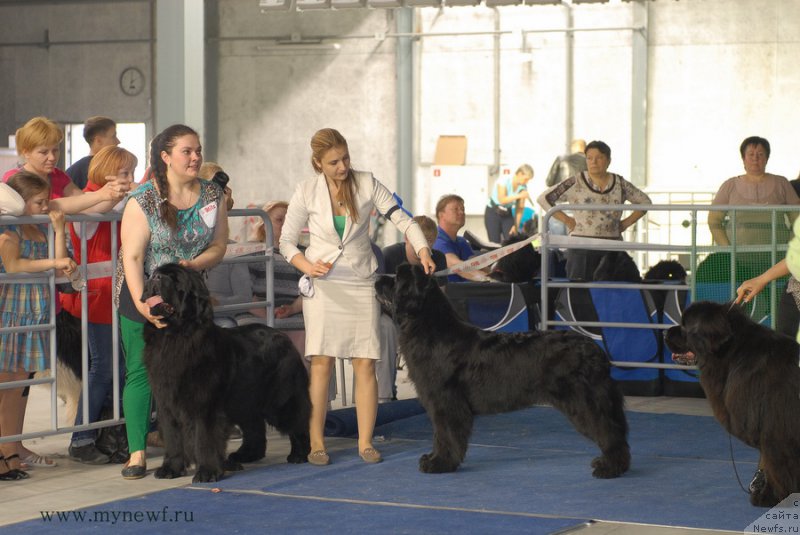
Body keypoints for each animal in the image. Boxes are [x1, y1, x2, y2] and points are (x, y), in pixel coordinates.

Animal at [141, 264, 310, 486]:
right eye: (155, 274)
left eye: (175, 280)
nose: (156, 278)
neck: (174, 336)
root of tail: (283, 336)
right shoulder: (167, 403)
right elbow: (172, 438)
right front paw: (171, 468)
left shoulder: (205, 406)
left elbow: (204, 439)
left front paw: (207, 472)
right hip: (244, 399)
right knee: (255, 427)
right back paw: (243, 456)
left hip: (280, 399)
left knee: (297, 422)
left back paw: (300, 454)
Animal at [376, 264, 632, 478]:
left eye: (396, 278)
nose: (377, 278)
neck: (428, 326)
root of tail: (597, 352)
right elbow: (441, 435)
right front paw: (433, 458)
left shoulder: (445, 401)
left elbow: (446, 434)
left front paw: (440, 463)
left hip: (584, 401)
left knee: (609, 431)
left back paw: (609, 468)